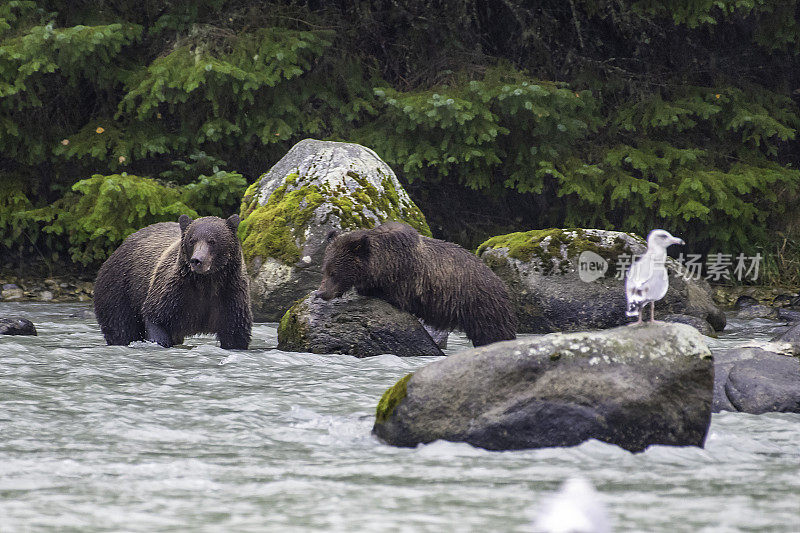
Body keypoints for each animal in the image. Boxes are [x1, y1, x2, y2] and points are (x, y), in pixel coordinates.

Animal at [96, 213, 253, 350]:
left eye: (212, 241)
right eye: (192, 240)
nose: (197, 260)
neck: (207, 281)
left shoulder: (229, 295)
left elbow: (235, 332)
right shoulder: (175, 293)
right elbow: (157, 318)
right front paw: (160, 342)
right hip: (120, 289)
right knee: (120, 326)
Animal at [316, 219, 516, 344]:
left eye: (334, 273)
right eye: (324, 270)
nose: (321, 293)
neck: (384, 264)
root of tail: (501, 282)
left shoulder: (405, 280)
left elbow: (392, 297)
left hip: (481, 305)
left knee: (494, 333)